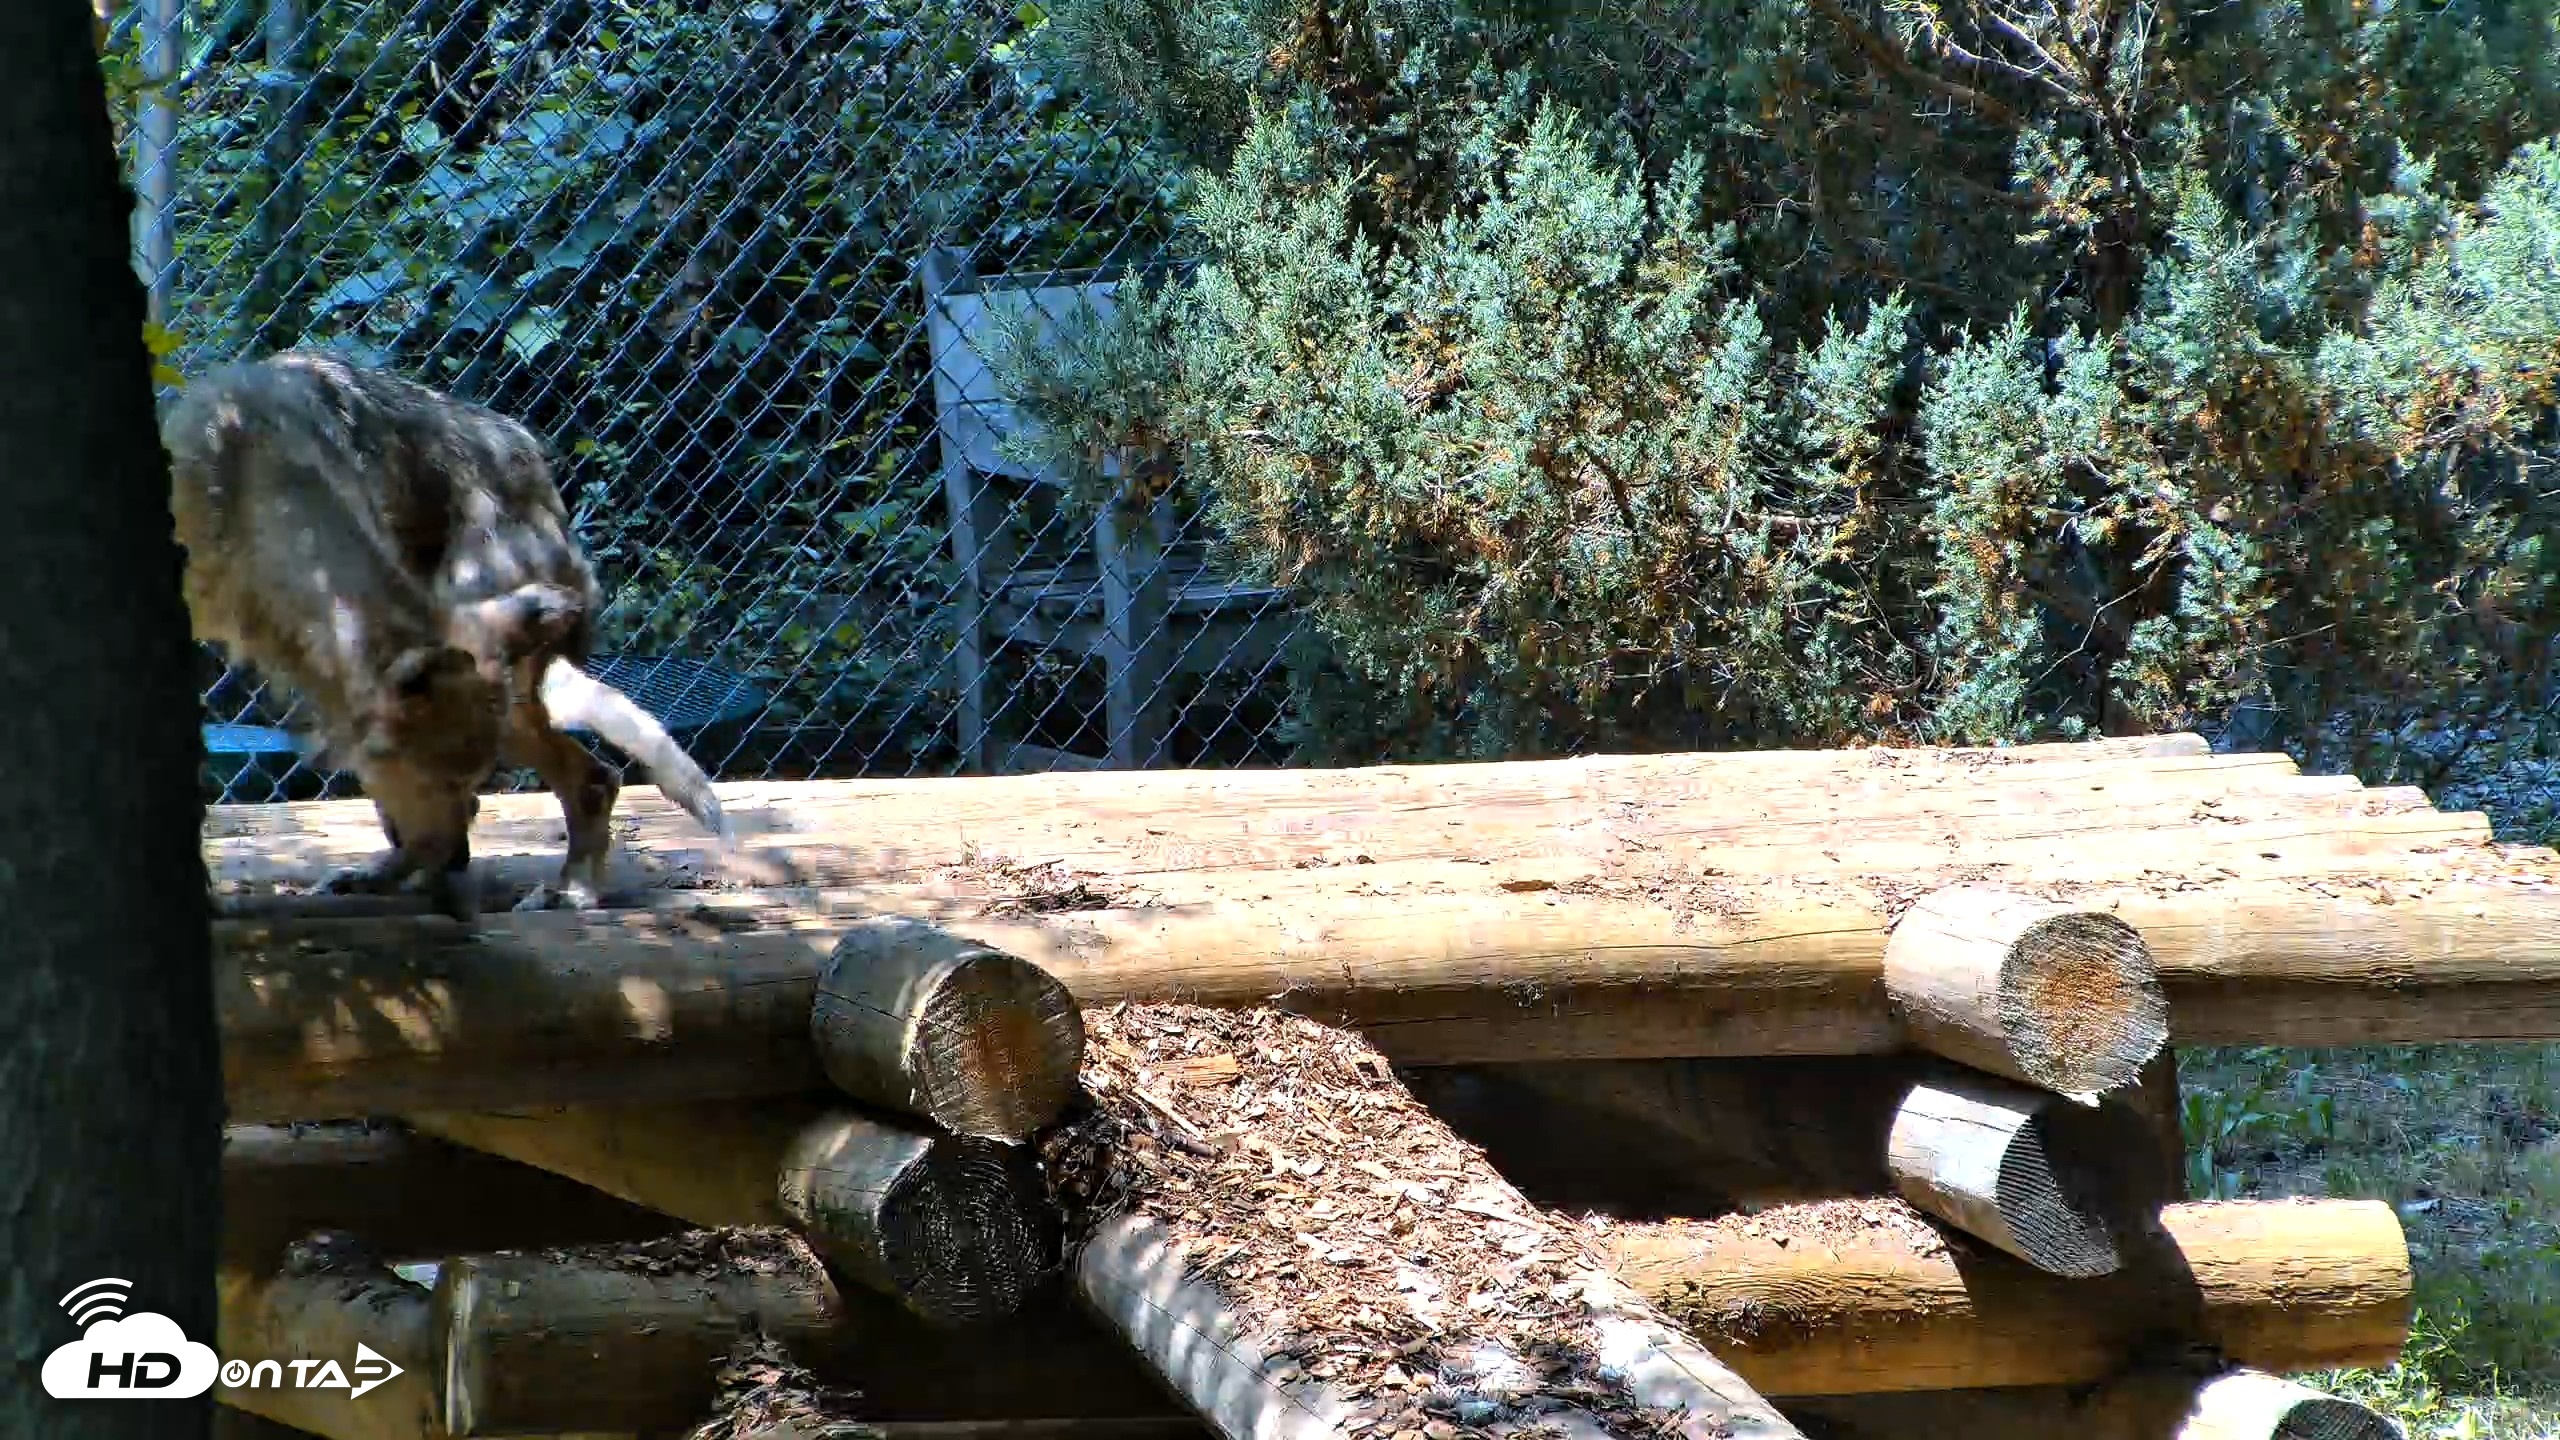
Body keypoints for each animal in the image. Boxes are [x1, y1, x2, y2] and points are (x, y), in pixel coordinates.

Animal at [163, 348, 734, 919]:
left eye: (466, 778)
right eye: (437, 778)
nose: (454, 870)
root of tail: (548, 496)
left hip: (513, 704)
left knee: (595, 778)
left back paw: (569, 890)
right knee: (594, 776)